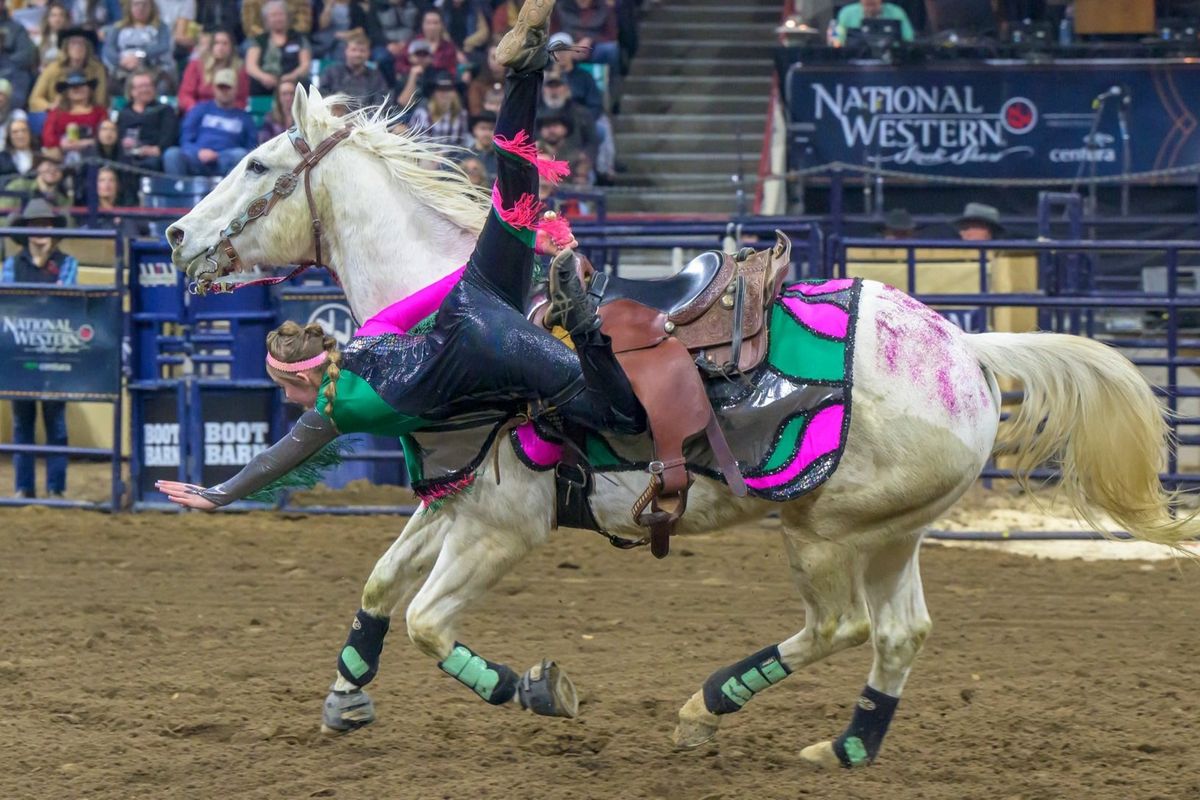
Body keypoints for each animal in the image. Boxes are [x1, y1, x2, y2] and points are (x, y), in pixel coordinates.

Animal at [164, 89, 1195, 767]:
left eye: (258, 164)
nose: (175, 237)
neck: (454, 312)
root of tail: (967, 349)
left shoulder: (502, 528)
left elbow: (424, 621)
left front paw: (537, 690)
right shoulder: (454, 502)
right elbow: (381, 586)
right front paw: (346, 698)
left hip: (822, 530)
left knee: (842, 626)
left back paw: (707, 708)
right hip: (890, 534)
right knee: (900, 634)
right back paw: (845, 748)